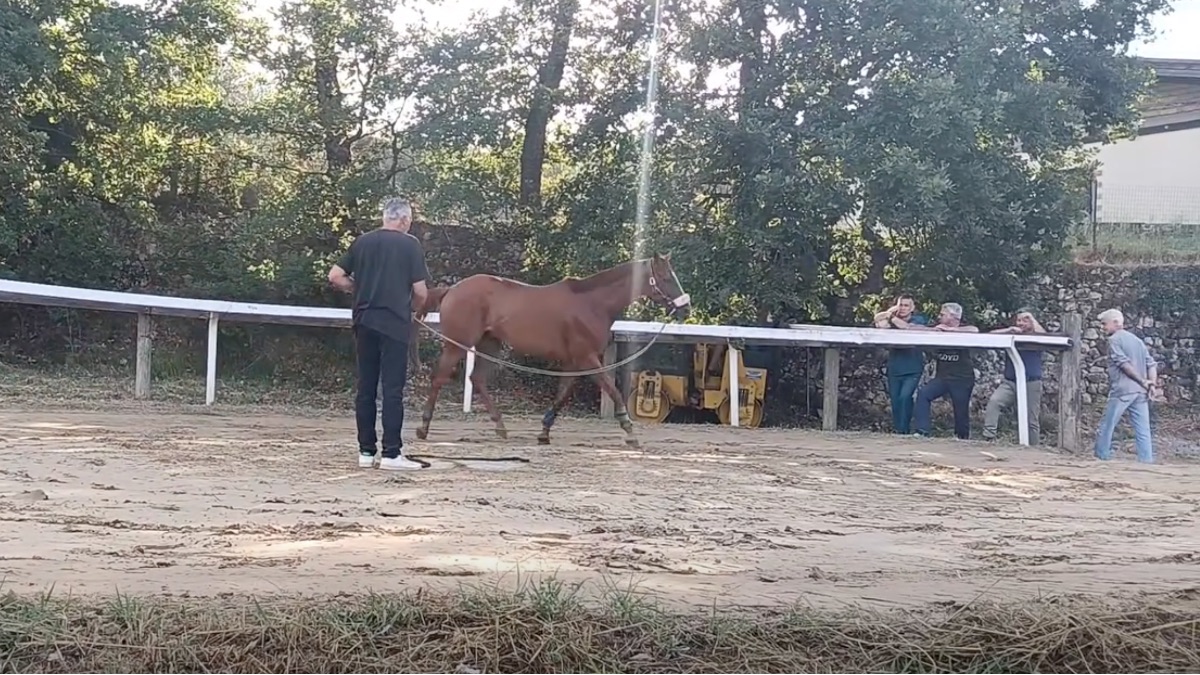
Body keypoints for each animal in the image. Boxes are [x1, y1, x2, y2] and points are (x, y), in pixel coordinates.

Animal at [414, 254, 691, 448]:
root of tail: (452, 289)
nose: (685, 308)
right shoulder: (588, 358)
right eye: (666, 278)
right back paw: (423, 427)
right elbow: (613, 391)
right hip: (456, 343)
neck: (592, 304)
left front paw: (544, 432)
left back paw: (501, 428)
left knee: (476, 379)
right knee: (439, 378)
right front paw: (629, 431)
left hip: (489, 344)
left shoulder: (573, 362)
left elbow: (563, 395)